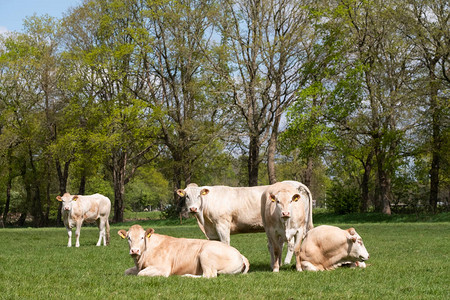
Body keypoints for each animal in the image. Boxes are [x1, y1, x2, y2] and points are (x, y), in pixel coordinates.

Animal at [116, 224, 250, 278]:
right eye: (128, 238)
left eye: (142, 237)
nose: (134, 250)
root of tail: (240, 254)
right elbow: (126, 271)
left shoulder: (162, 268)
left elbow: (140, 274)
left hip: (206, 254)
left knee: (209, 275)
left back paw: (187, 276)